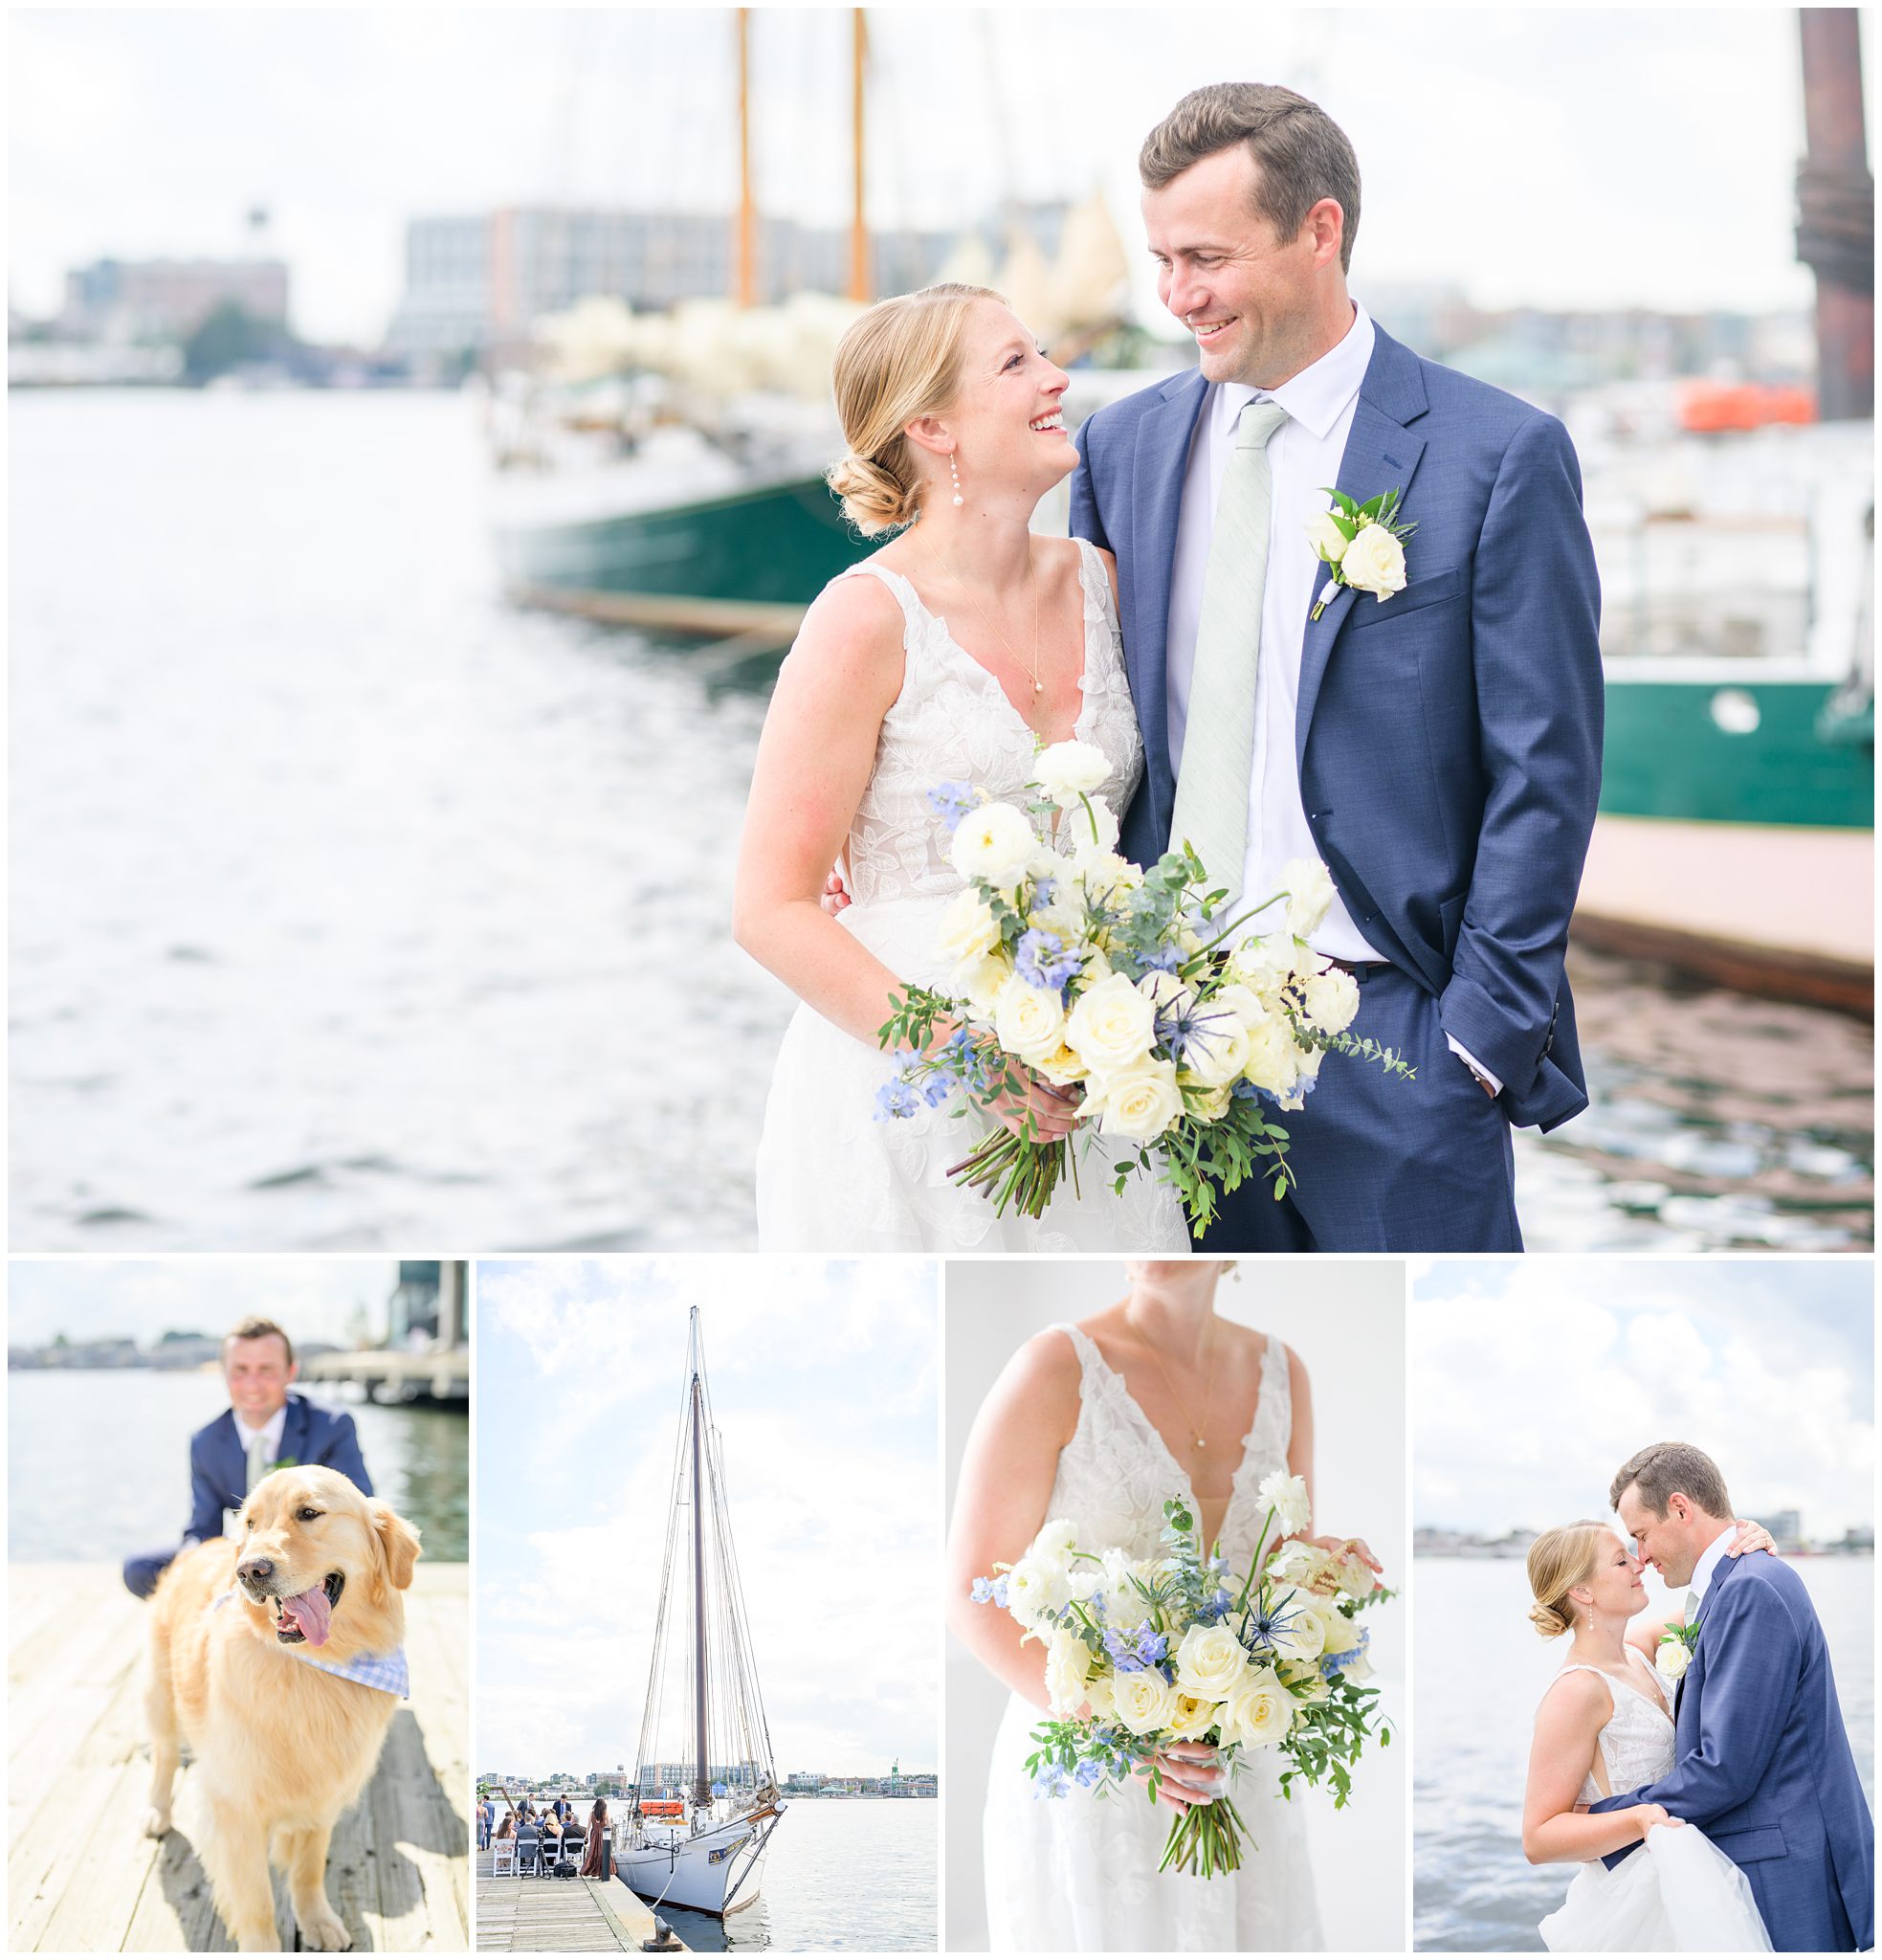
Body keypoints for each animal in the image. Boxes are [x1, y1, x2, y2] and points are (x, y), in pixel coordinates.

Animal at [140, 1465, 423, 1951]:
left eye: (309, 1513)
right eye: (251, 1524)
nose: (249, 1570)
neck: (313, 1668)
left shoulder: (324, 1791)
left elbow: (309, 1868)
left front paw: (317, 1920)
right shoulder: (236, 1802)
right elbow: (255, 1898)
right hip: (163, 1696)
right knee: (164, 1755)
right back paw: (158, 1812)